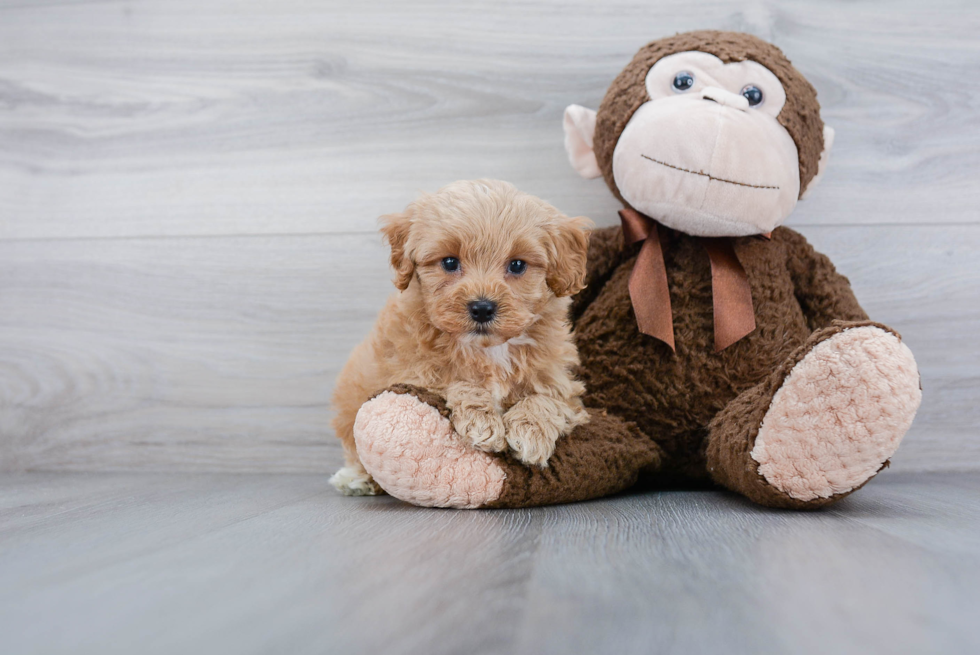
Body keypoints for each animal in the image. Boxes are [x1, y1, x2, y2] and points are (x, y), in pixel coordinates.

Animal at [330, 179, 588, 498]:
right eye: (450, 262)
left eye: (517, 265)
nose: (482, 307)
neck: (489, 349)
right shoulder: (413, 373)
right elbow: (457, 382)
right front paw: (482, 422)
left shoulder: (562, 384)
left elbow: (547, 399)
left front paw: (531, 432)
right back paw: (356, 478)